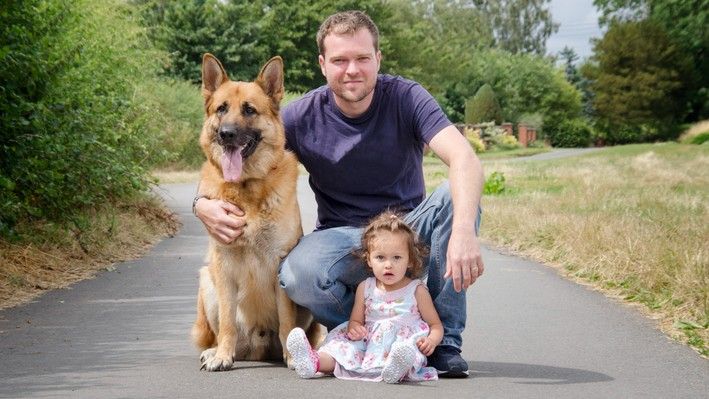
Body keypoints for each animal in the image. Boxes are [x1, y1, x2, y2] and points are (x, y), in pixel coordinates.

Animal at [191, 53, 318, 372]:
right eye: (221, 109)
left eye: (249, 110)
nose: (227, 134)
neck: (246, 189)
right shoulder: (223, 268)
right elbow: (227, 323)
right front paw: (223, 356)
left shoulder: (279, 264)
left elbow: (286, 322)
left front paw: (292, 357)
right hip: (207, 279)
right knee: (224, 331)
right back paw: (216, 351)